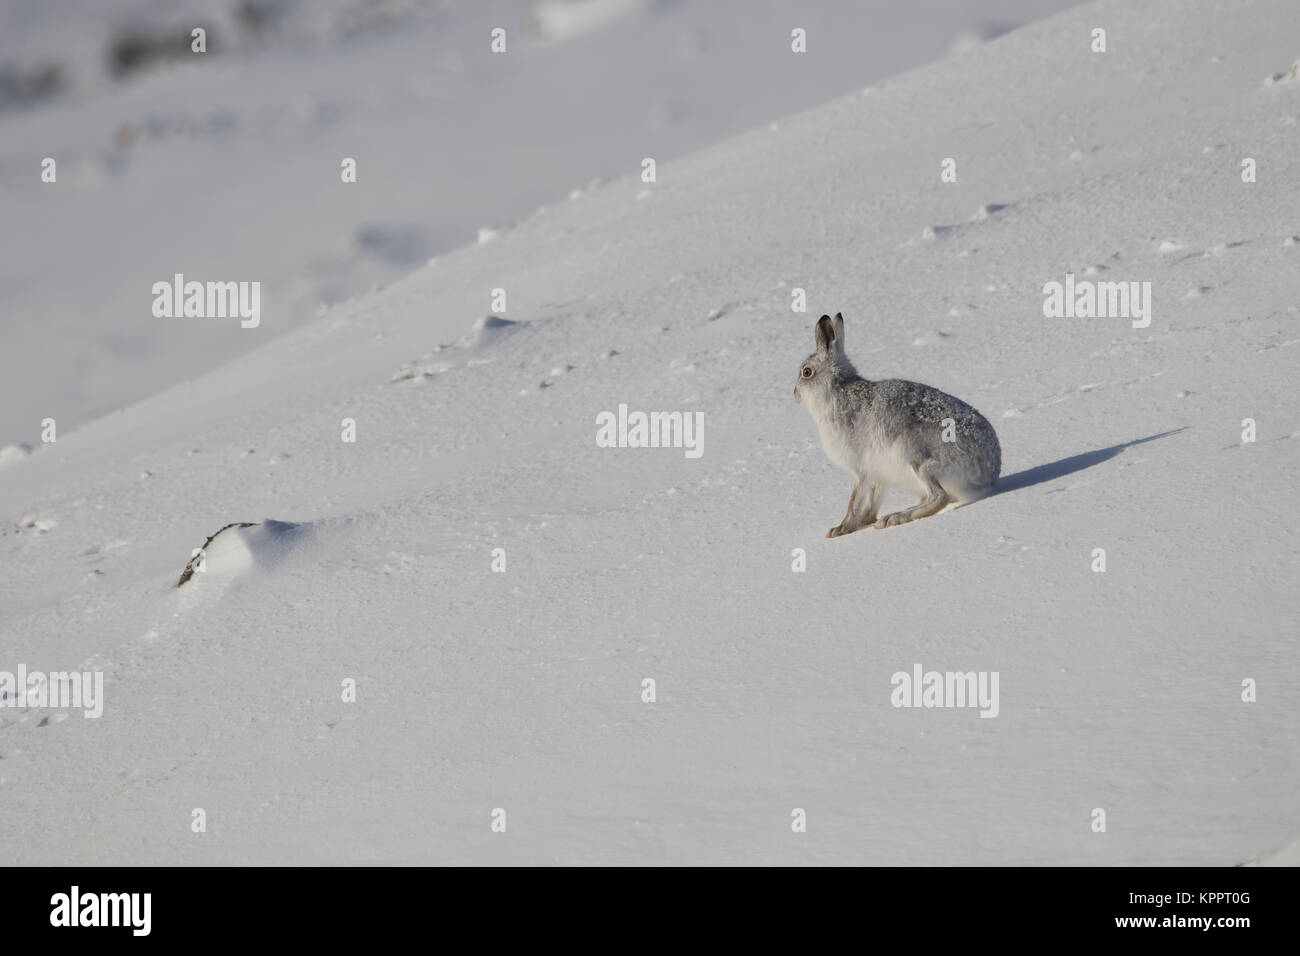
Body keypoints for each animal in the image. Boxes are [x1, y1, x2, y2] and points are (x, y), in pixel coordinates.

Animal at [794, 313, 1000, 537]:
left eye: (806, 372)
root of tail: (989, 471)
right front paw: (862, 522)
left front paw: (839, 530)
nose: (795, 394)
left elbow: (854, 502)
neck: (837, 390)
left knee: (939, 497)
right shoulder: (877, 476)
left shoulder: (862, 470)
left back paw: (894, 518)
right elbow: (871, 503)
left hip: (916, 459)